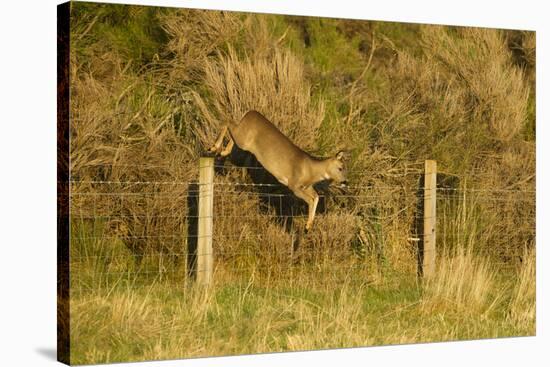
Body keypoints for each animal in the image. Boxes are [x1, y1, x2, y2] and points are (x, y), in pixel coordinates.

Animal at [209, 110, 348, 233]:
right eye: (340, 168)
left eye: (344, 168)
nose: (345, 181)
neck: (310, 170)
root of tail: (250, 112)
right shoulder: (293, 184)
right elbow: (310, 199)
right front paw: (306, 226)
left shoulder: (307, 187)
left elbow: (316, 197)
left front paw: (308, 226)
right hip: (243, 138)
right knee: (227, 121)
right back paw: (214, 147)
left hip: (243, 138)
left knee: (231, 128)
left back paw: (223, 151)